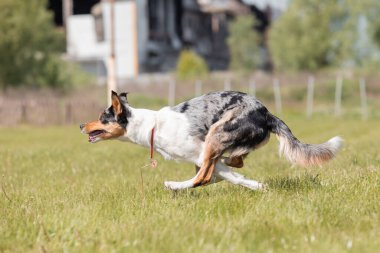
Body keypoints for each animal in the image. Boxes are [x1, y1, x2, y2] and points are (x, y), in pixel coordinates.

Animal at [79, 91, 342, 190]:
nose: (81, 125)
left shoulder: (198, 152)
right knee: (233, 162)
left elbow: (207, 175)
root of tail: (267, 114)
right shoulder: (202, 156)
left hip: (216, 133)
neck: (150, 126)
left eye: (102, 117)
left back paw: (174, 185)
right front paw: (256, 185)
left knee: (203, 177)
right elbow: (228, 175)